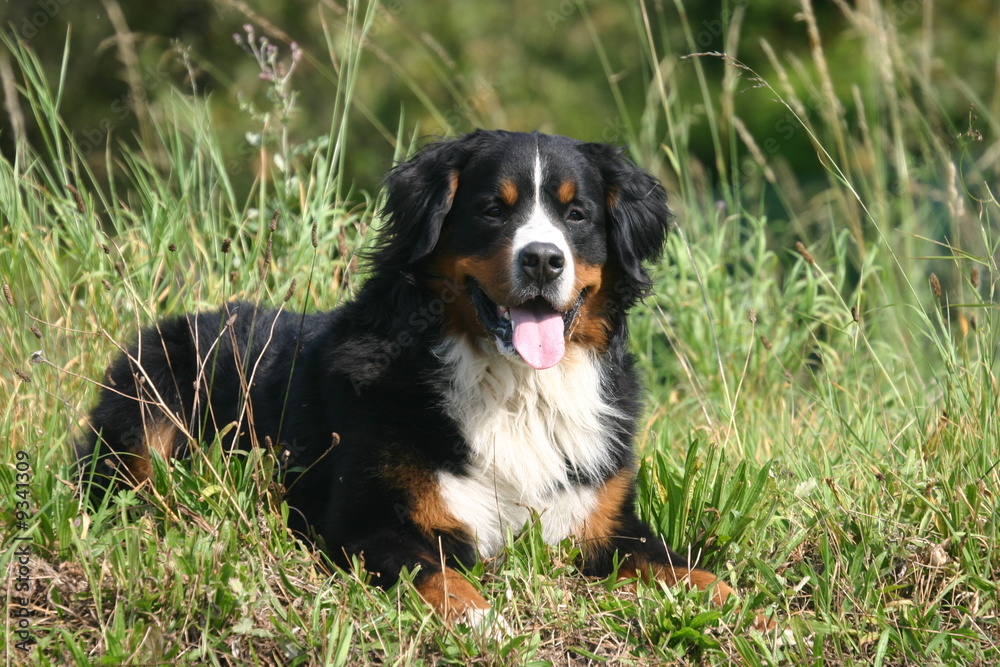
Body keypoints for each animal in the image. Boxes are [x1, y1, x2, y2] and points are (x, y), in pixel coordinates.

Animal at [78, 129, 764, 632]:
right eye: (492, 209)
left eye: (577, 215)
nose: (544, 259)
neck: (515, 390)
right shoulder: (368, 521)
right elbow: (433, 572)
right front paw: (481, 617)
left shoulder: (603, 523)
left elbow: (680, 567)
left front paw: (743, 606)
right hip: (150, 394)